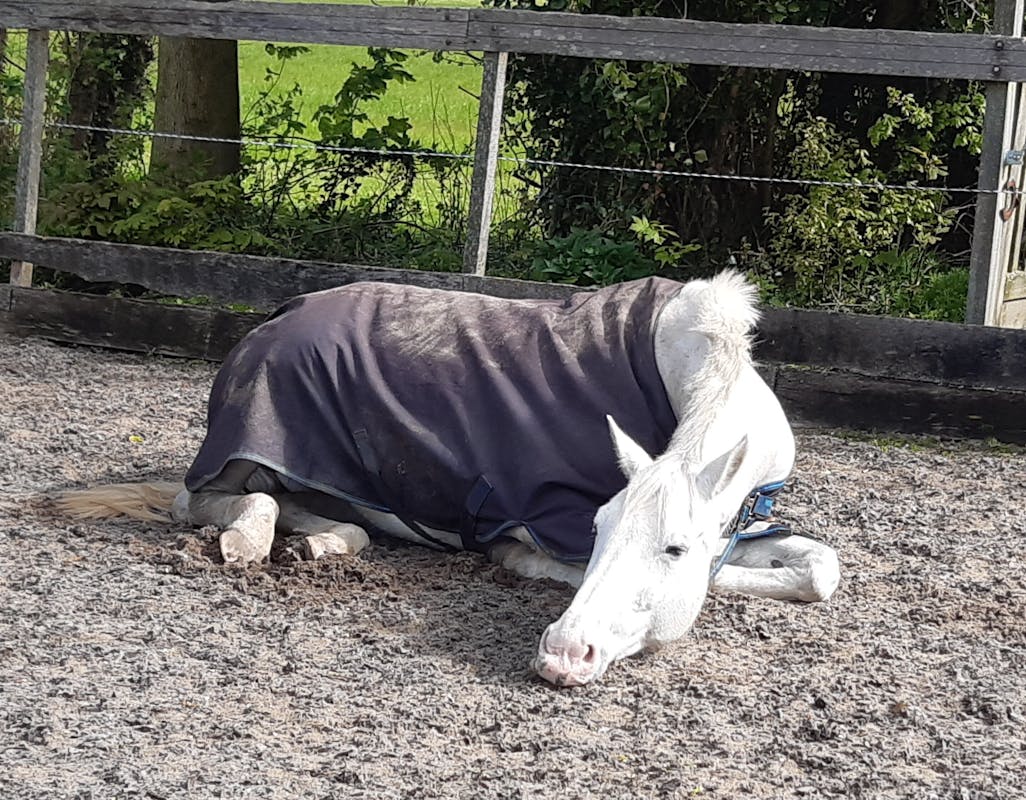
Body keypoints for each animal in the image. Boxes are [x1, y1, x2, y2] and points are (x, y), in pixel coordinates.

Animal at [58, 272, 839, 686]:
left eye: (673, 547)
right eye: (597, 530)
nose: (564, 656)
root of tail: (269, 321)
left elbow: (819, 570)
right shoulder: (536, 531)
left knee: (312, 509)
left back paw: (322, 543)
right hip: (247, 454)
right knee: (205, 498)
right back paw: (250, 538)